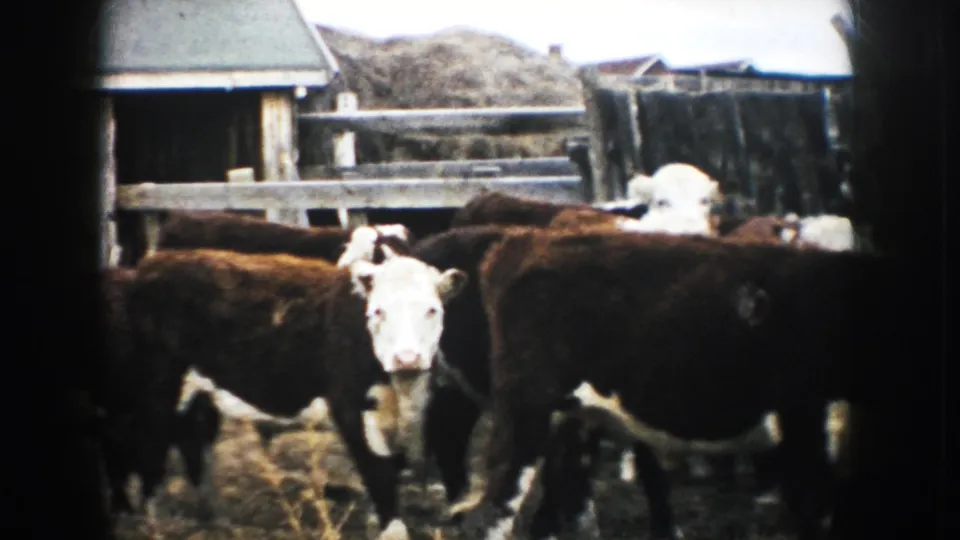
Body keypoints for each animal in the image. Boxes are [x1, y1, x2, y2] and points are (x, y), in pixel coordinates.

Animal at [113, 246, 467, 540]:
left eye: (432, 310)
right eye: (378, 311)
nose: (406, 358)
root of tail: (152, 264)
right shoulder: (351, 409)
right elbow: (378, 474)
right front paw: (392, 531)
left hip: (197, 393)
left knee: (191, 442)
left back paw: (214, 518)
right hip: (158, 387)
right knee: (150, 446)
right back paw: (155, 522)